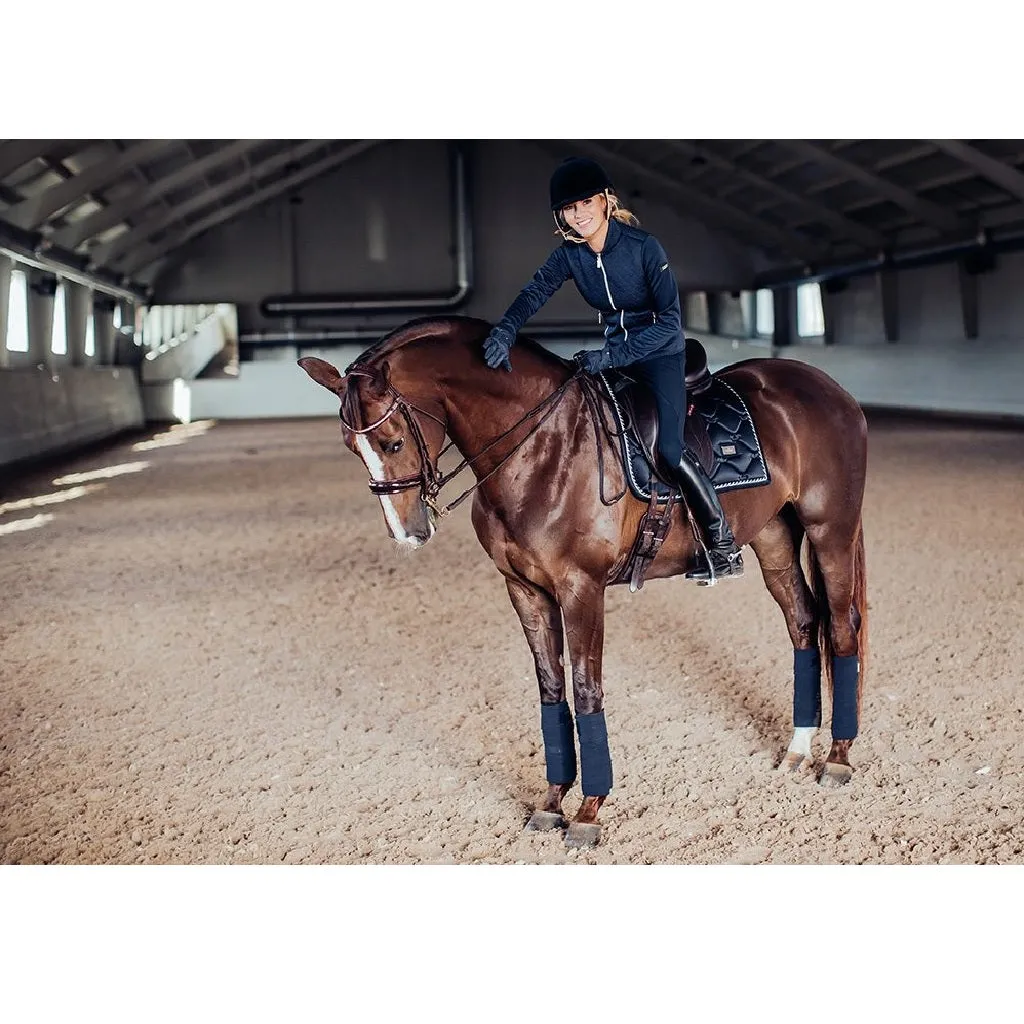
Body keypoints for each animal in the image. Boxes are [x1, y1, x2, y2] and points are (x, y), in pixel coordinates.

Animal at [299, 317, 868, 847]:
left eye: (393, 441)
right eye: (352, 447)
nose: (408, 533)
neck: (540, 451)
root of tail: (827, 386)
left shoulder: (581, 589)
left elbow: (586, 687)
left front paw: (589, 811)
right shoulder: (523, 589)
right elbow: (552, 688)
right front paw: (552, 802)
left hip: (830, 532)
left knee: (842, 626)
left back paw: (837, 758)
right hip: (773, 536)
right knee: (803, 621)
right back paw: (798, 748)